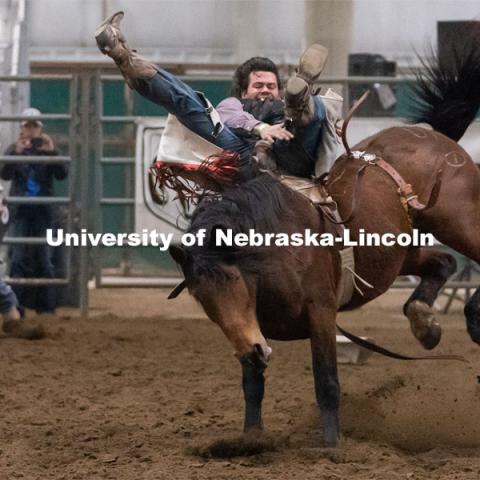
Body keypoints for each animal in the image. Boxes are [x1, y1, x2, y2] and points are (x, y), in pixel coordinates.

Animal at [166, 47, 480, 448]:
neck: (275, 256)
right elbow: (253, 386)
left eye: (234, 280)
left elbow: (326, 381)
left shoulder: (321, 313)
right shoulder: (253, 332)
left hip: (459, 223)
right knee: (442, 262)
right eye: (201, 297)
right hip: (398, 252)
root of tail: (431, 135)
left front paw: (331, 445)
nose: (251, 351)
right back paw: (425, 322)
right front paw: (251, 439)